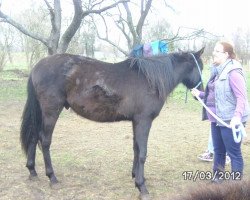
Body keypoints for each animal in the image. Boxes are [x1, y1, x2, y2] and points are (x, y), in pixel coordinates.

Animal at [20, 47, 204, 198]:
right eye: (200, 67)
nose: (201, 93)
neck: (150, 80)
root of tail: (37, 66)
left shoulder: (136, 121)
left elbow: (136, 149)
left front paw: (136, 177)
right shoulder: (144, 121)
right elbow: (143, 153)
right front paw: (142, 187)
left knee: (33, 136)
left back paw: (32, 171)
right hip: (51, 111)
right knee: (44, 141)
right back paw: (52, 178)